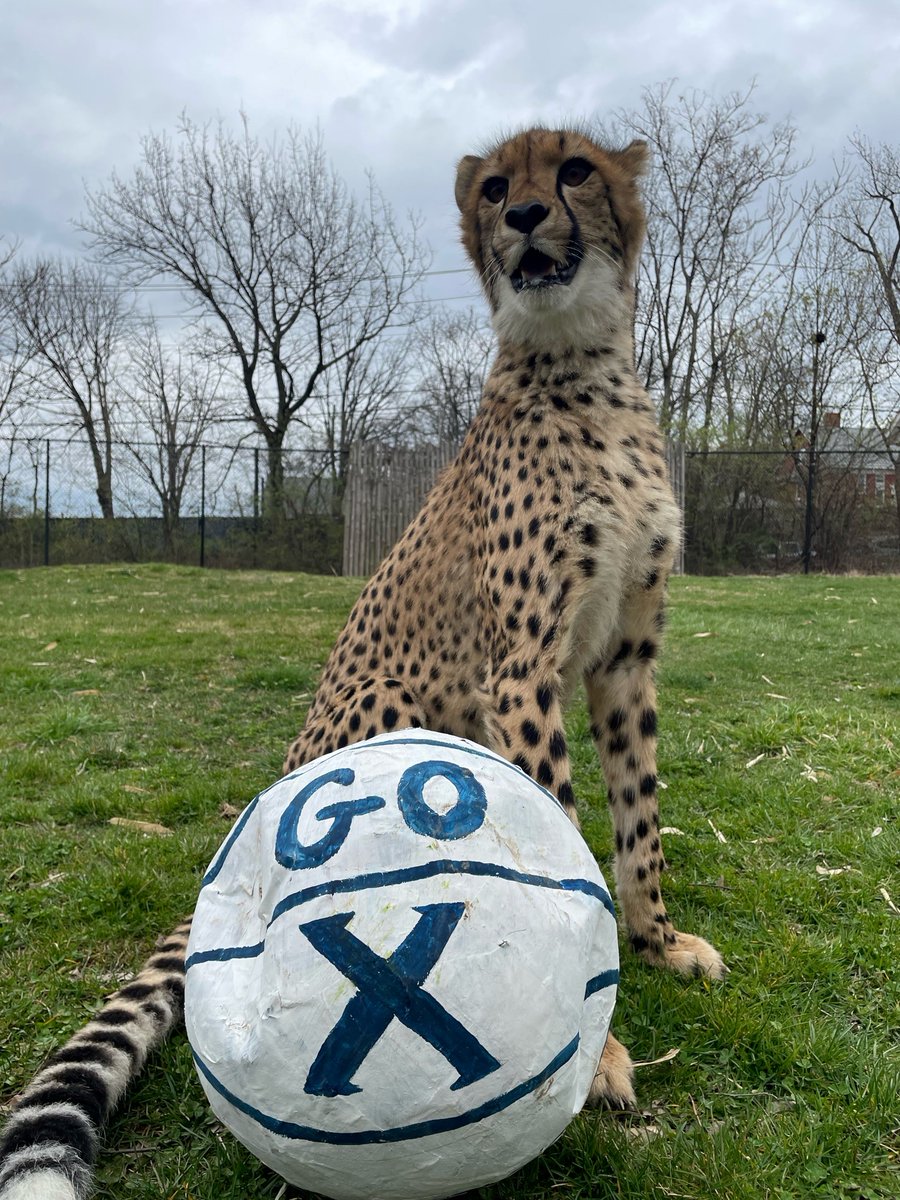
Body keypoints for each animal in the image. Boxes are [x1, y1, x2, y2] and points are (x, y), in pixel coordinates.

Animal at [0, 126, 726, 1200]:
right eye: (497, 188)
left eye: (576, 171)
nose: (523, 218)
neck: (578, 362)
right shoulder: (520, 669)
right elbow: (570, 836)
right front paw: (596, 1051)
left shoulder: (625, 657)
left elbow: (639, 826)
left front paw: (660, 942)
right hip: (390, 694)